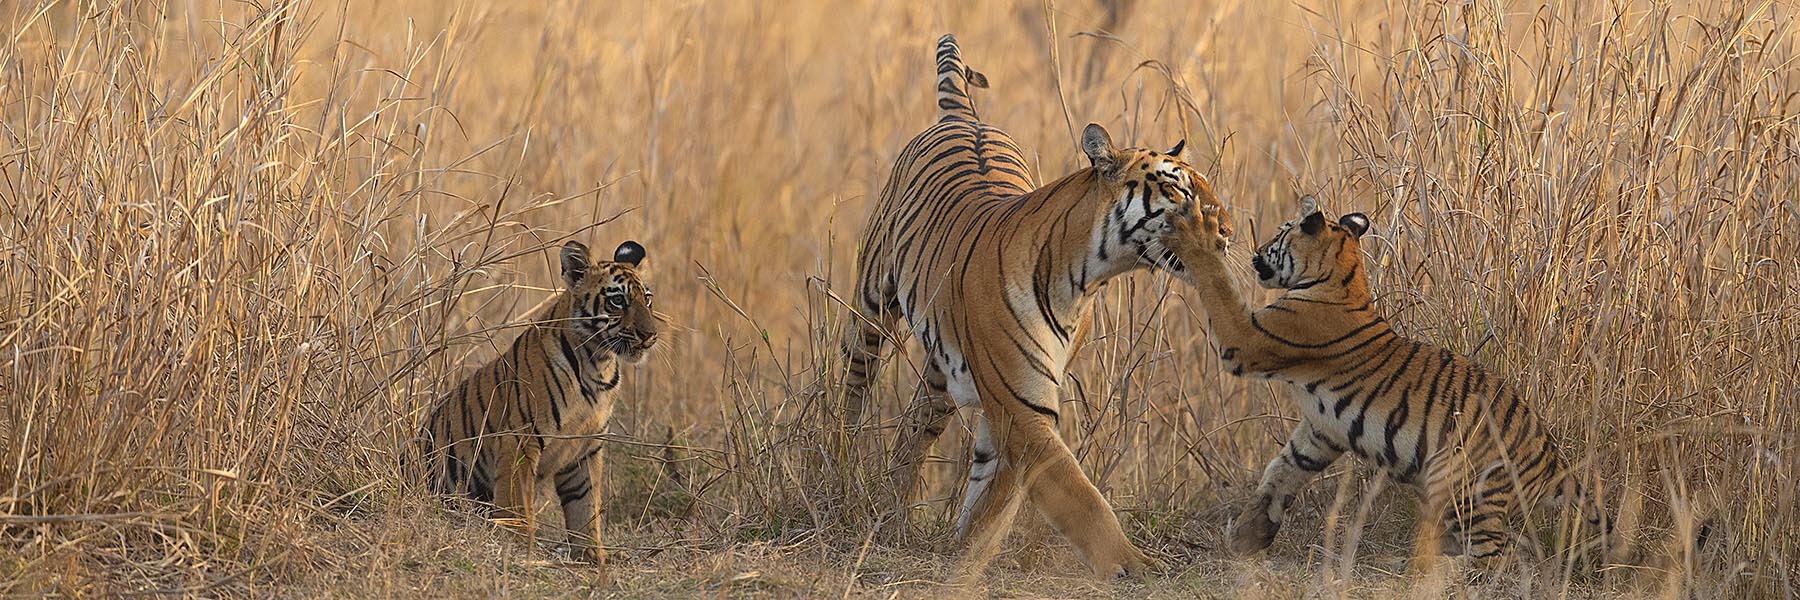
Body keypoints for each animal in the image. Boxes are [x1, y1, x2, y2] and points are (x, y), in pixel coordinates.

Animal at [419, 240, 659, 576]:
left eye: (647, 299)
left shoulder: (587, 447)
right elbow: (516, 497)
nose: (650, 336)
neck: (598, 364)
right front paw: (518, 540)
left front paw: (591, 554)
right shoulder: (521, 438)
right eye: (617, 301)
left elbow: (586, 504)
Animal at [836, 33, 1233, 577]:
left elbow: (994, 493)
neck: (1085, 278)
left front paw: (965, 550)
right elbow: (1082, 497)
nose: (1228, 232)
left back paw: (892, 513)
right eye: (1177, 188)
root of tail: (964, 117)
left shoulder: (1013, 405)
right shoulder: (1022, 408)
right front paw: (1134, 565)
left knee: (915, 428)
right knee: (853, 389)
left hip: (941, 375)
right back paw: (838, 467)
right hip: (872, 307)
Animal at [1159, 198, 1611, 562]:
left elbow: (1217, 282)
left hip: (1462, 485)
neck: (1343, 276)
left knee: (1500, 556)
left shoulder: (1247, 340)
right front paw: (1251, 534)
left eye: (1280, 233)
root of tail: (1554, 459)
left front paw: (1193, 233)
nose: (1255, 254)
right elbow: (1282, 469)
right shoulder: (1322, 430)